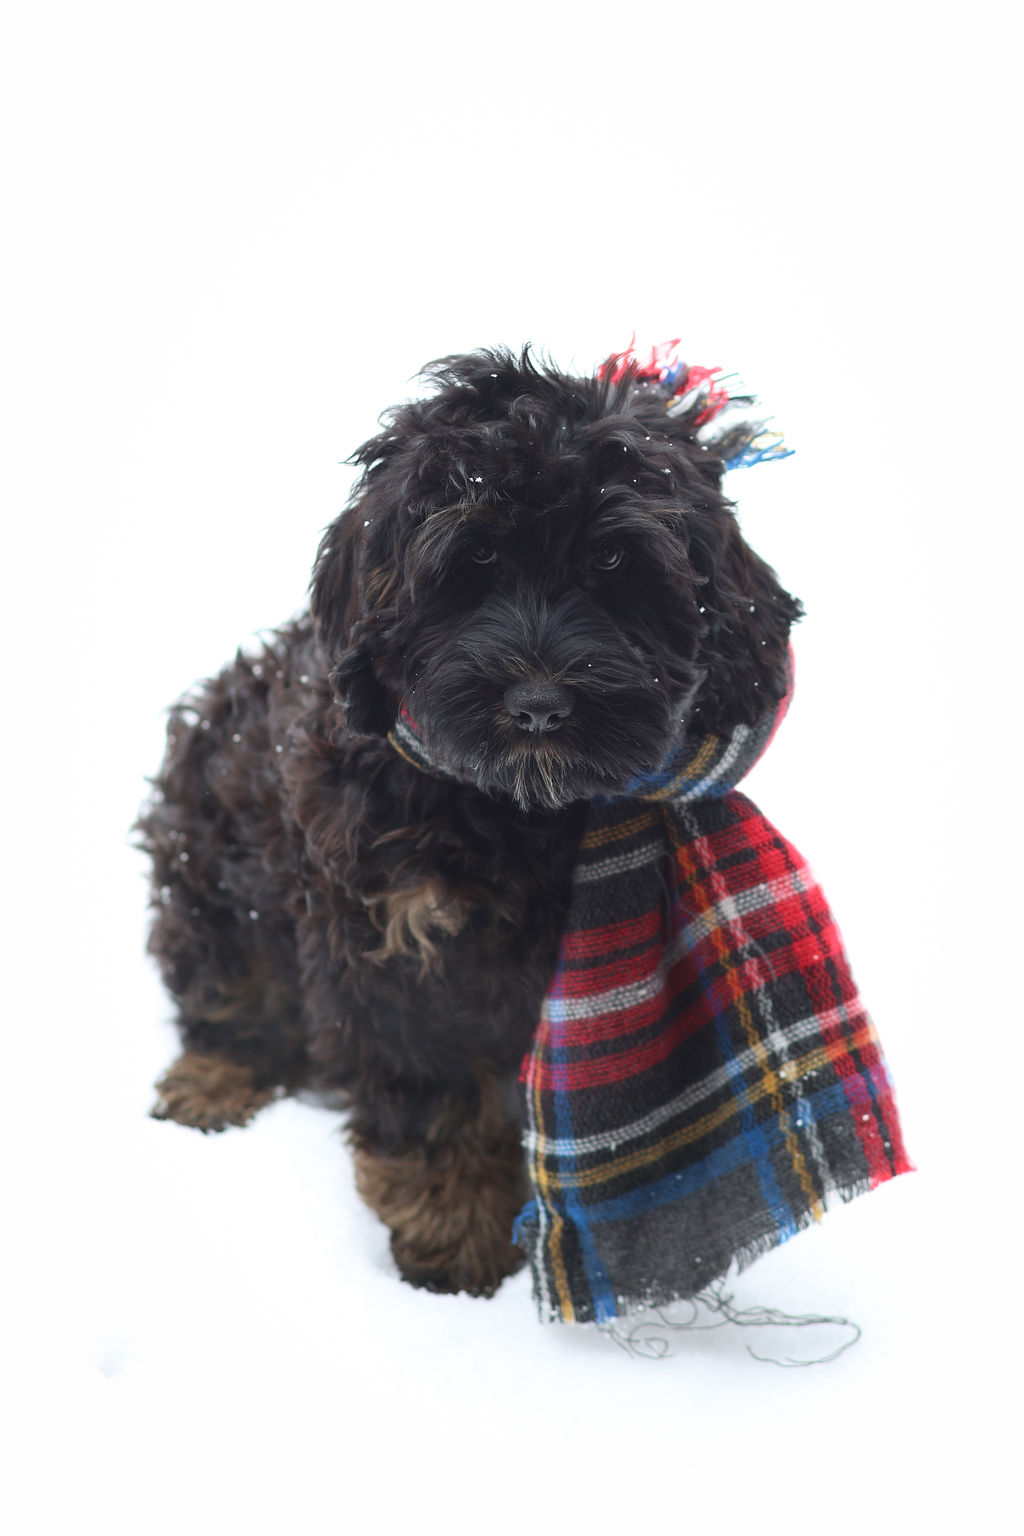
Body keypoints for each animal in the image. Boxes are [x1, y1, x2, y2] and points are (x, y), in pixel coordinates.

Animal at [135, 345, 798, 1296]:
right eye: (472, 565)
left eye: (613, 565)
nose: (538, 706)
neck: (514, 805)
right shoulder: (395, 949)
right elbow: (436, 1108)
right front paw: (455, 1247)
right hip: (209, 844)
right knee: (224, 979)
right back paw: (213, 1081)